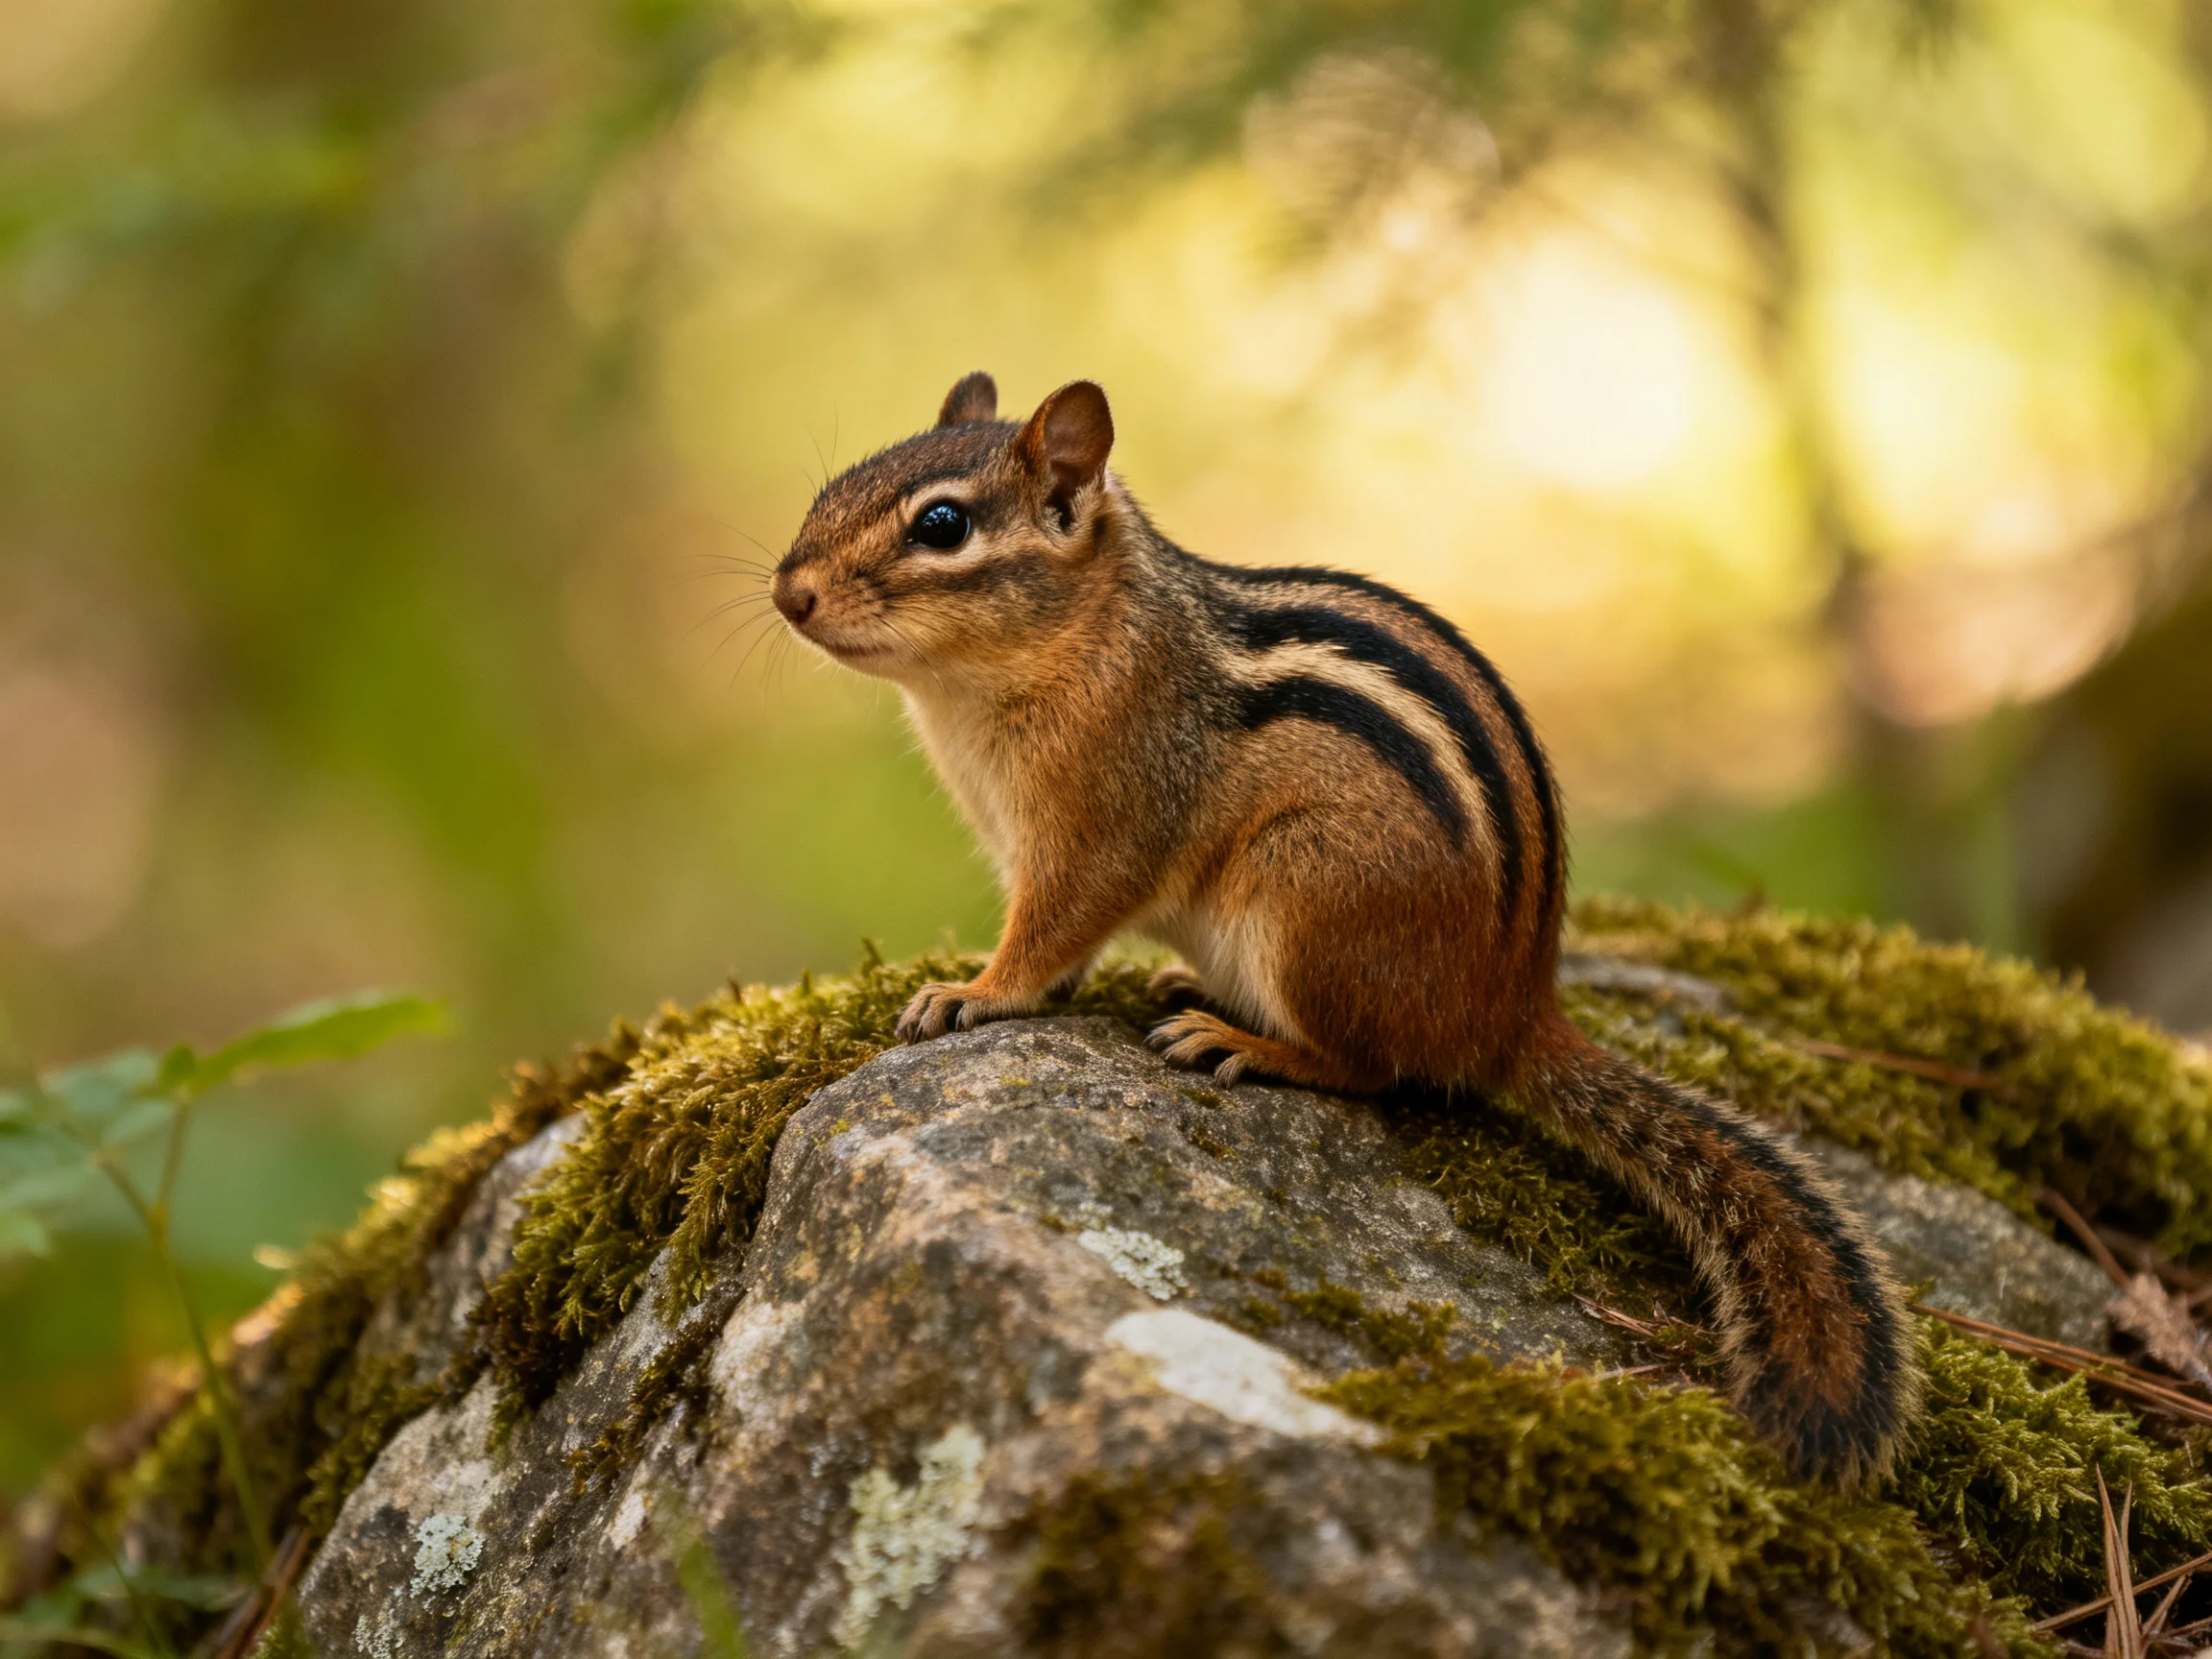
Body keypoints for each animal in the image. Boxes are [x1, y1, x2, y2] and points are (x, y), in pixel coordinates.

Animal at [769, 371, 1921, 1480]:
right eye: (837, 487)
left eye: (943, 524)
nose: (788, 592)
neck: (1072, 642)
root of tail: (1510, 1013)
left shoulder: (1104, 821)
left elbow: (1054, 929)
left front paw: (972, 990)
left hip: (1305, 896)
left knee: (1377, 1071)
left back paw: (1244, 1041)